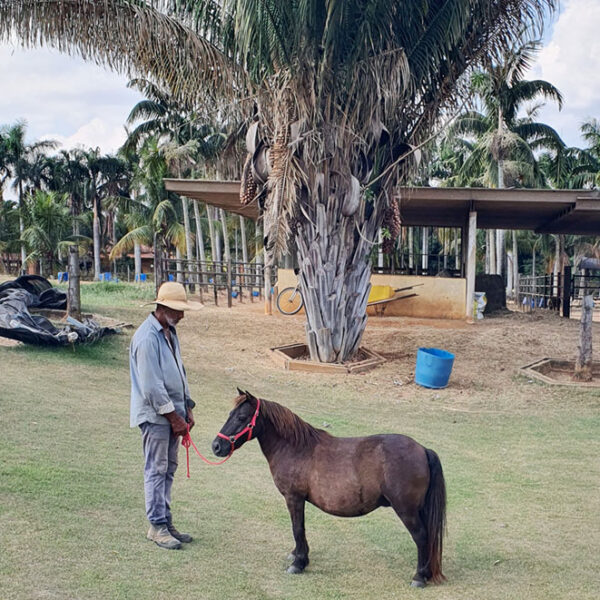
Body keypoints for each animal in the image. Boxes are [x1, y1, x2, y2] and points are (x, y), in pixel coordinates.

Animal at [211, 390, 446, 584]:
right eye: (230, 413)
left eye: (242, 418)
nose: (216, 446)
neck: (295, 448)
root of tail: (422, 450)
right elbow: (299, 528)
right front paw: (297, 555)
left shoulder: (294, 498)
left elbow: (297, 528)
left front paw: (299, 563)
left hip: (406, 510)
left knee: (421, 537)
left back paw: (419, 577)